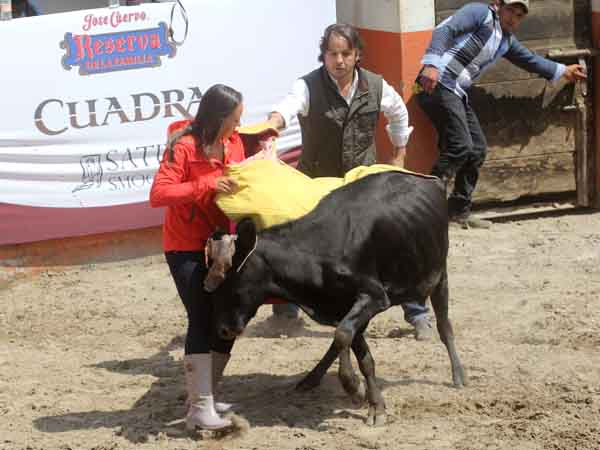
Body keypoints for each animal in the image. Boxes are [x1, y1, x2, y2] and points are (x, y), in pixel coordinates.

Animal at [205, 171, 464, 426]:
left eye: (230, 280)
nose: (223, 330)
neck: (317, 255)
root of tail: (432, 180)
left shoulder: (374, 297)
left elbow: (343, 335)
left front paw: (354, 388)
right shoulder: (344, 306)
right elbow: (359, 352)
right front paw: (373, 403)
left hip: (439, 276)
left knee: (445, 326)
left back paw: (459, 375)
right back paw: (311, 379)